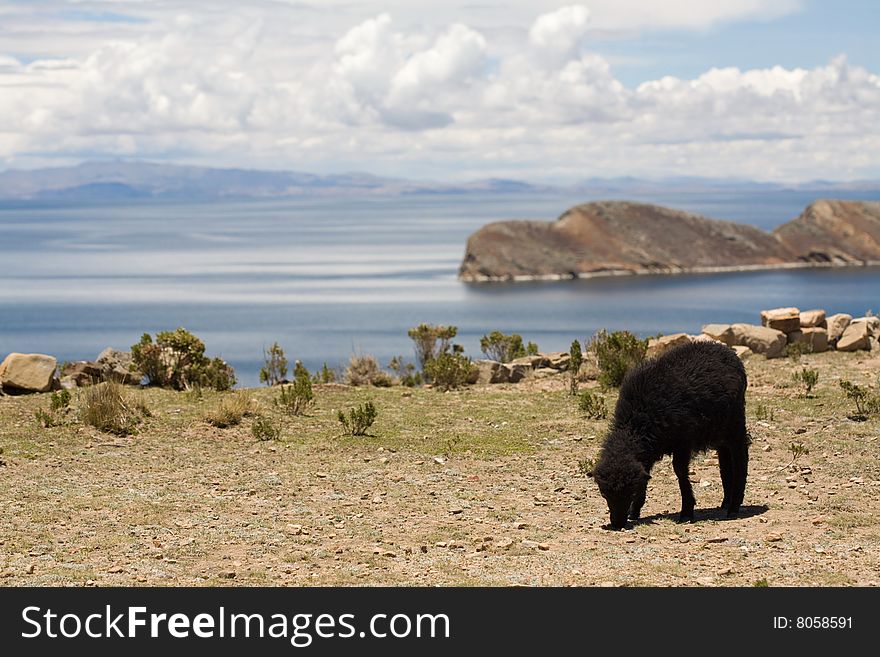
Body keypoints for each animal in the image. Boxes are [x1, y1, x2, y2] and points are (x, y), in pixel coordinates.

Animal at [592, 338, 748, 528]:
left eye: (630, 492)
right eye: (604, 494)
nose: (617, 524)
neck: (638, 420)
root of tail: (726, 350)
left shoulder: (683, 440)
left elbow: (680, 471)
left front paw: (687, 511)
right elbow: (646, 475)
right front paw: (635, 511)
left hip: (735, 423)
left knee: (740, 457)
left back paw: (734, 506)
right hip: (720, 431)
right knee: (725, 462)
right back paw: (726, 501)